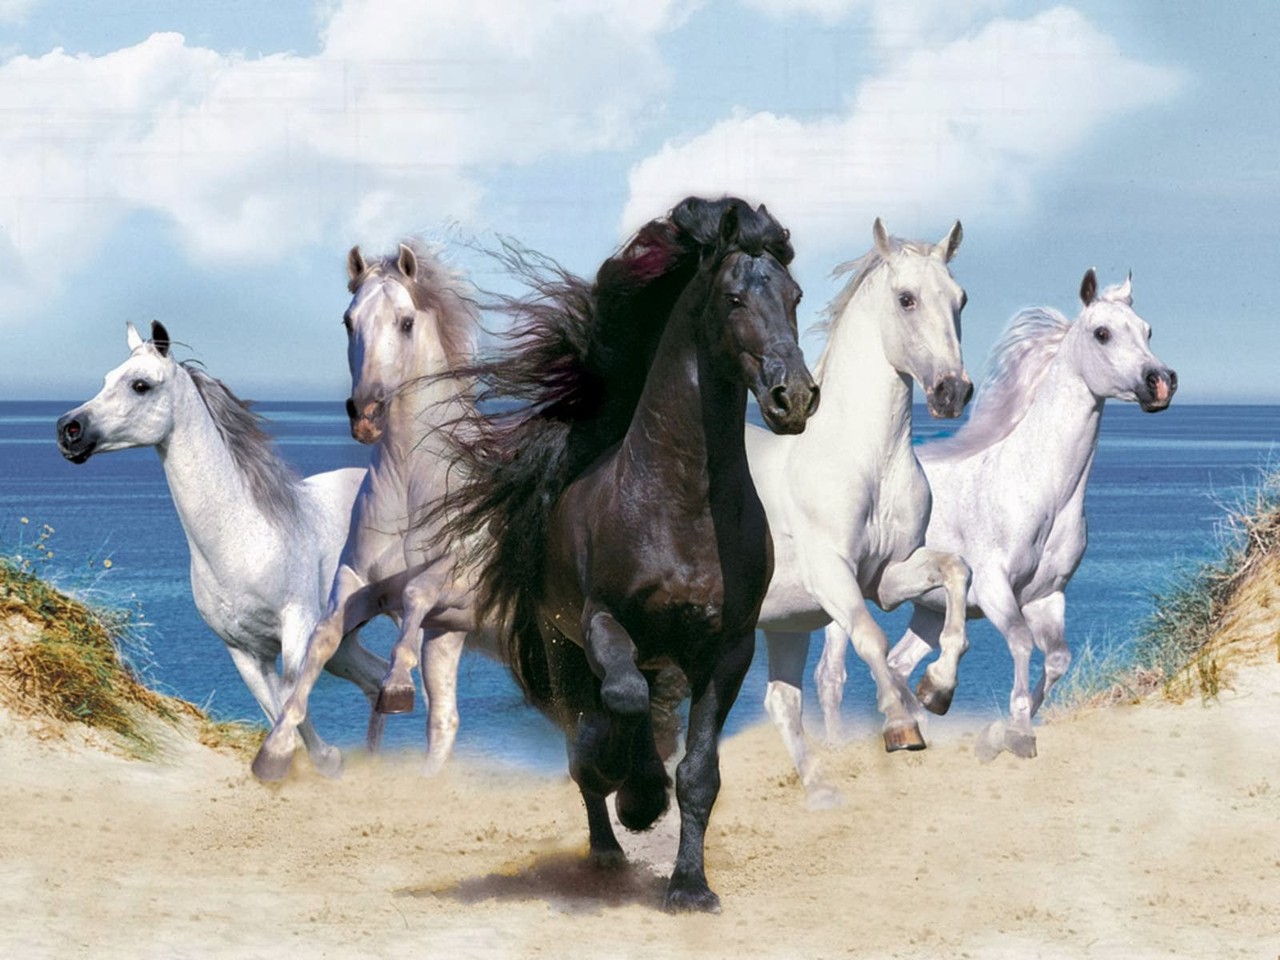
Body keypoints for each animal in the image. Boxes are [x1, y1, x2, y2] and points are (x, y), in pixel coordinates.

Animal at [55, 322, 388, 770]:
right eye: (107, 378)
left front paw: (326, 759)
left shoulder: (297, 629)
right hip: (345, 641)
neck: (242, 537)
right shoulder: (244, 652)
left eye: (140, 385)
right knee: (379, 680)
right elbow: (277, 709)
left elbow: (292, 702)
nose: (68, 429)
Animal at [252, 241, 485, 782]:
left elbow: (419, 592)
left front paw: (396, 686)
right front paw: (274, 752)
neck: (412, 483)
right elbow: (323, 637)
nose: (367, 415)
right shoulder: (364, 583)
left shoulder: (456, 574)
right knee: (445, 720)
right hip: (450, 636)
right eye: (347, 320)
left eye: (405, 322)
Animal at [439, 197, 818, 913]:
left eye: (795, 296)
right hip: (563, 648)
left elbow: (699, 773)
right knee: (590, 731)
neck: (683, 507)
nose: (795, 397)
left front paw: (690, 886)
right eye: (733, 298)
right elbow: (620, 702)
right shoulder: (602, 623)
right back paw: (610, 840)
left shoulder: (728, 649)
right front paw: (638, 795)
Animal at [748, 218, 972, 807]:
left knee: (781, 701)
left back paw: (821, 791)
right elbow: (870, 637)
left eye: (961, 298)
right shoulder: (832, 573)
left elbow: (956, 570)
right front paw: (900, 725)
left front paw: (937, 689)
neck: (866, 460)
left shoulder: (888, 576)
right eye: (906, 298)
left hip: (784, 623)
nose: (953, 391)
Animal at [820, 269, 1177, 761]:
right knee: (831, 675)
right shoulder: (994, 589)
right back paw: (839, 744)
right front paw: (1012, 730)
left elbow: (1057, 660)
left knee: (897, 661)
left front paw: (1004, 725)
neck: (1039, 490)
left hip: (927, 609)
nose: (1160, 381)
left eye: (1147, 330)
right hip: (844, 598)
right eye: (1102, 333)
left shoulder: (1048, 597)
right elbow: (1022, 644)